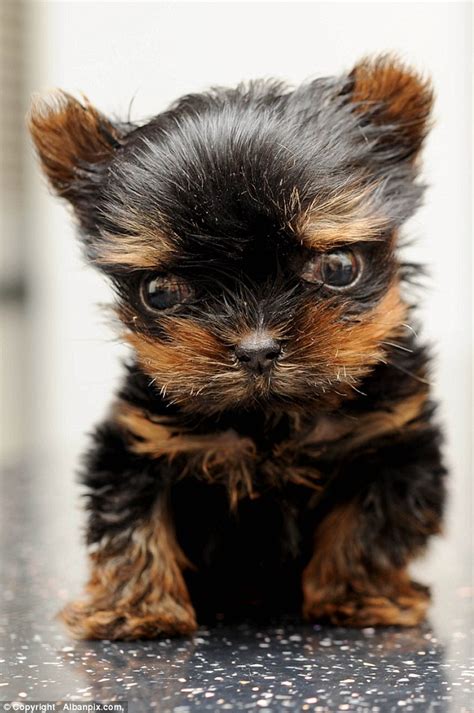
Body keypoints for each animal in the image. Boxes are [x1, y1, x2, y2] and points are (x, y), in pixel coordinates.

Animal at [28, 54, 444, 636]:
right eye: (159, 292)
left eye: (338, 267)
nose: (257, 349)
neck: (270, 419)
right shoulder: (138, 440)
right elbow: (130, 516)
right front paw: (136, 610)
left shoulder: (392, 439)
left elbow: (371, 526)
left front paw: (357, 599)